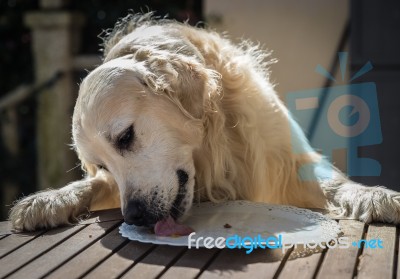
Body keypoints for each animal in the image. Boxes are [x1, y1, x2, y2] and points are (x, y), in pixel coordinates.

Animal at [8, 13, 400, 232]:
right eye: (102, 165)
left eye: (126, 136)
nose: (133, 216)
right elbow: (90, 186)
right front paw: (49, 200)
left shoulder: (286, 161)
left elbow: (335, 184)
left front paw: (374, 195)